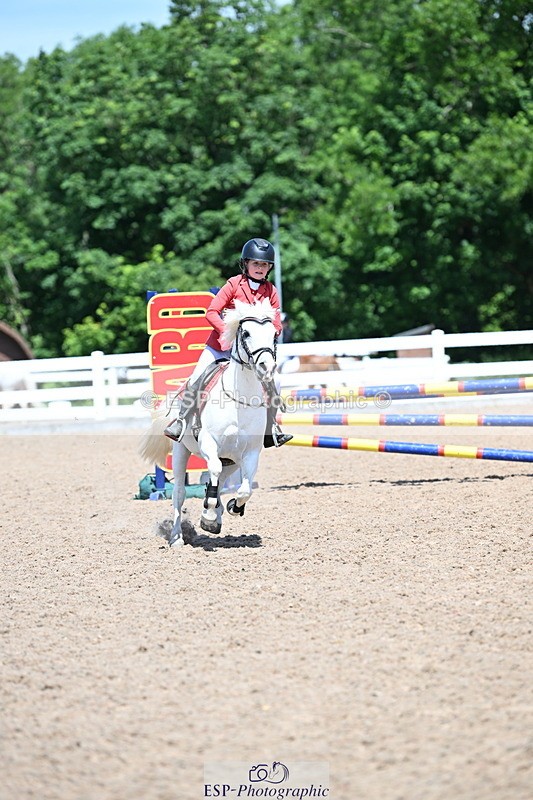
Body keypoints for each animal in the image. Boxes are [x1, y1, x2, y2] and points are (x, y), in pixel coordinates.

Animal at [140, 299, 278, 548]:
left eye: (274, 334)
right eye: (246, 333)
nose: (266, 367)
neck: (239, 399)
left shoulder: (250, 453)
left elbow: (244, 490)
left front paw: (231, 508)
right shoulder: (209, 443)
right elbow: (212, 473)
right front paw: (210, 513)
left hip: (230, 460)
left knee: (220, 484)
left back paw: (215, 517)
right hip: (181, 450)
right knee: (179, 493)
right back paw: (177, 536)